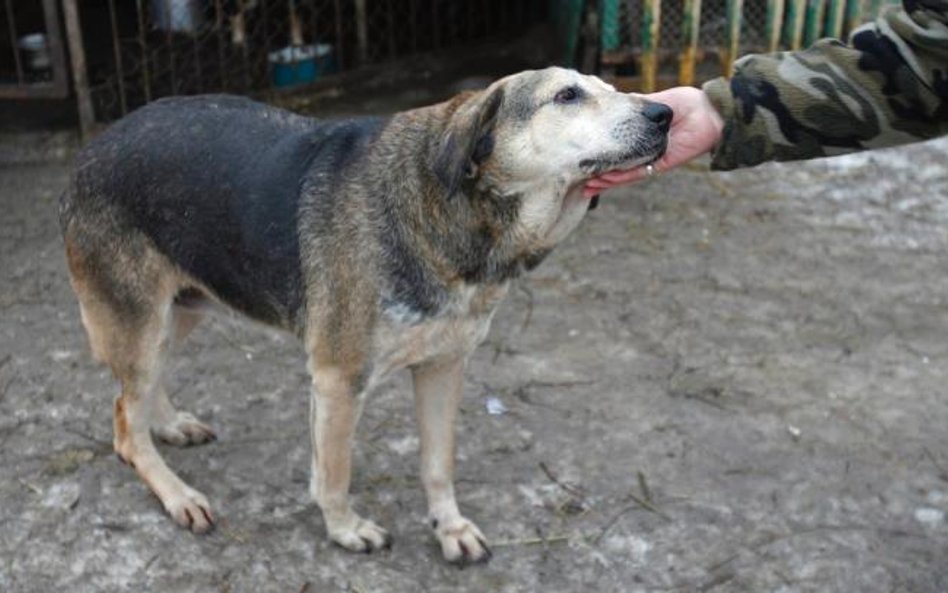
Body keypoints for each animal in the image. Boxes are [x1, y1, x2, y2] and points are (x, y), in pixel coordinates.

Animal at [61, 67, 668, 560]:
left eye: (612, 87)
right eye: (567, 95)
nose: (665, 114)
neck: (452, 212)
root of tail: (92, 147)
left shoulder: (444, 368)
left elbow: (438, 463)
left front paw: (450, 528)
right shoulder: (338, 381)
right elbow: (334, 473)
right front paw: (346, 530)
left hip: (181, 308)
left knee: (136, 396)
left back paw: (168, 424)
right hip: (138, 317)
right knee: (123, 423)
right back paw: (177, 494)